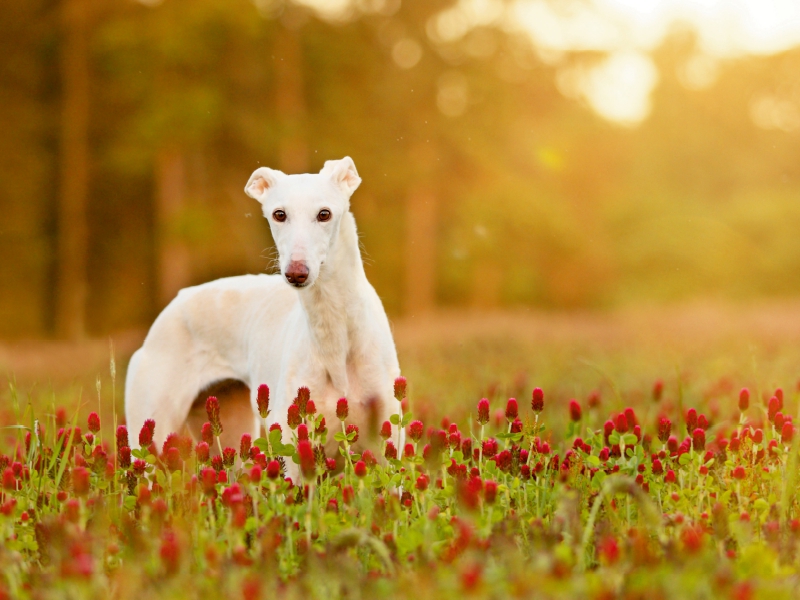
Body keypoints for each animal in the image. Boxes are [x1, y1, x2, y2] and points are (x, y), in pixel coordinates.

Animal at [126, 157, 404, 466]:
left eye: (324, 214)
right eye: (279, 214)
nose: (296, 272)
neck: (335, 331)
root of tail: (174, 303)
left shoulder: (387, 452)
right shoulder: (294, 457)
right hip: (153, 433)